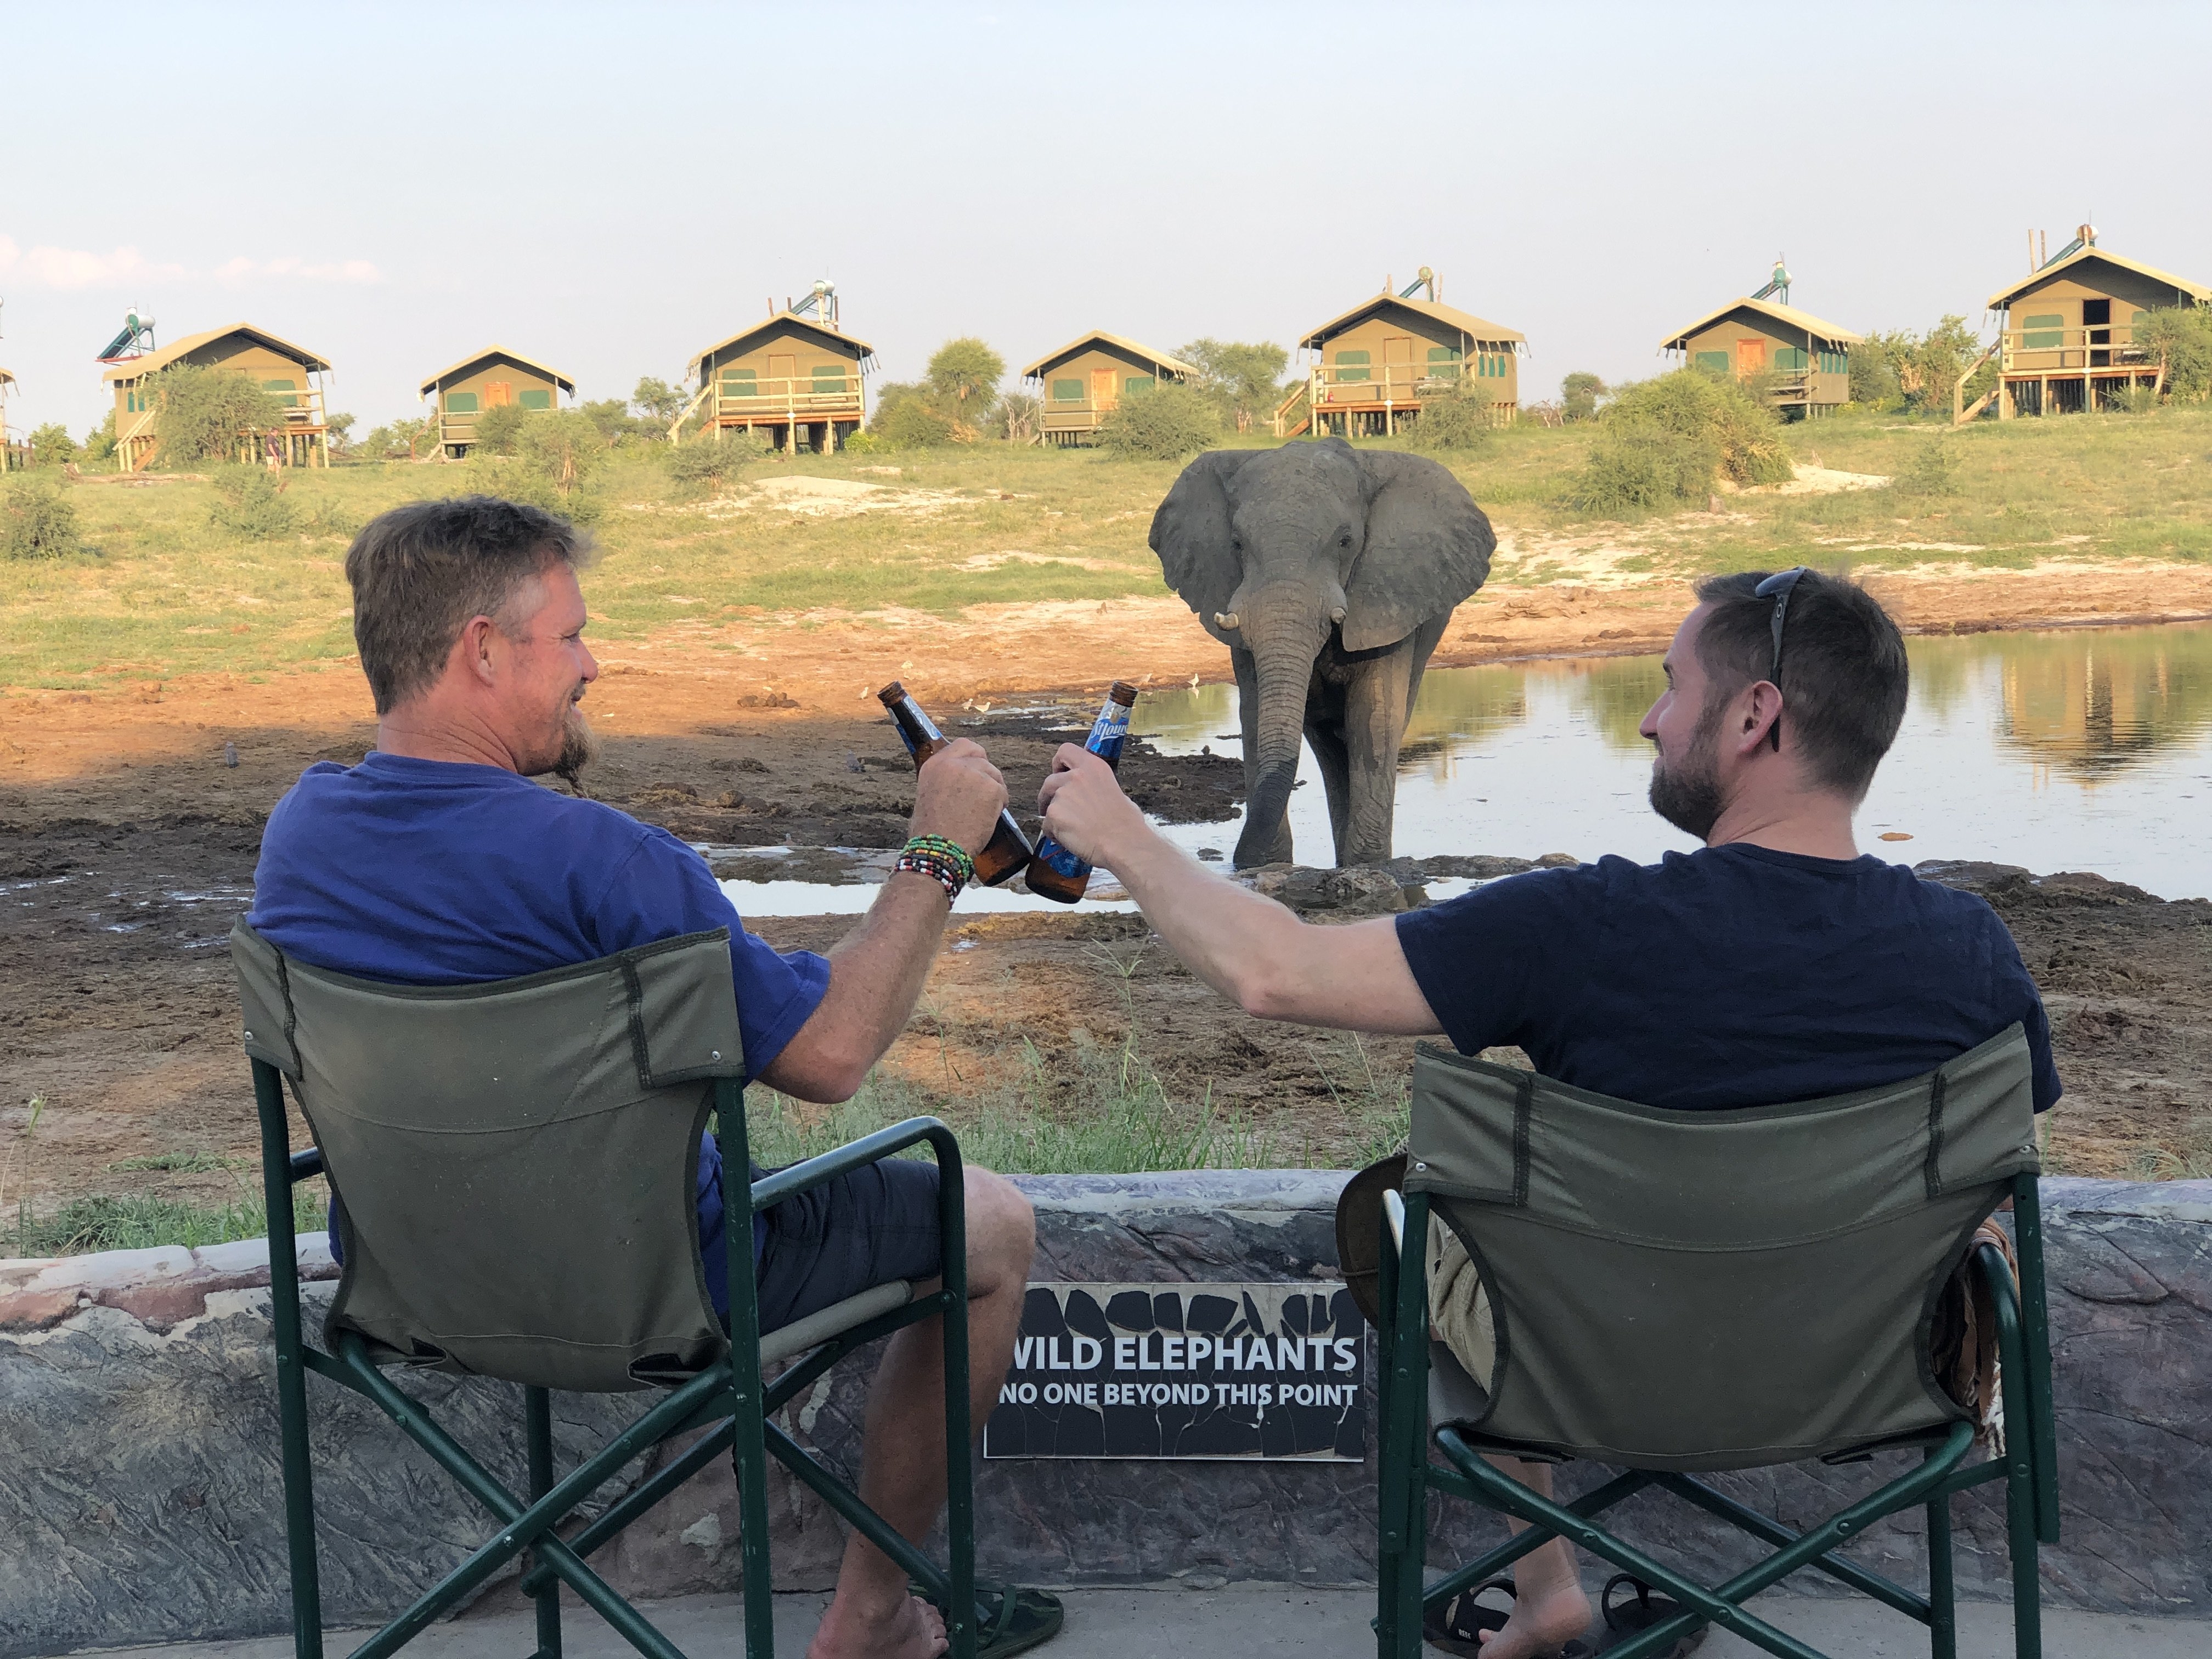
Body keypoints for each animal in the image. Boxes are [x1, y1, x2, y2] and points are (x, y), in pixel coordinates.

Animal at [1150, 436, 1495, 876]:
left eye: (1346, 542)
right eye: (1237, 544)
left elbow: (1373, 718)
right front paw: (1271, 868)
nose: (1236, 864)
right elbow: (1255, 714)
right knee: (1329, 746)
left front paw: (1369, 867)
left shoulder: (1387, 600)